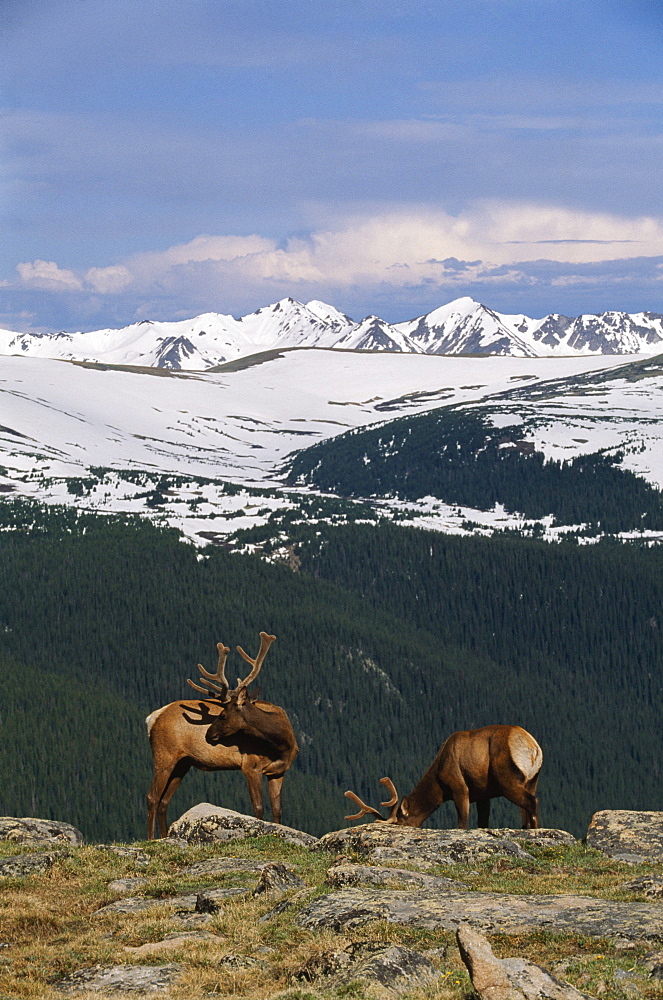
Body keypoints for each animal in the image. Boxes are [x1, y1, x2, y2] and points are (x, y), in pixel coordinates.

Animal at [148, 632, 300, 836]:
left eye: (223, 714)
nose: (208, 734)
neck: (282, 746)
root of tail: (152, 718)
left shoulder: (278, 771)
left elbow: (277, 810)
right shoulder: (250, 765)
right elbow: (258, 808)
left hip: (183, 762)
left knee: (164, 801)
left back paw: (164, 836)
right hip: (164, 754)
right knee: (152, 797)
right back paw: (151, 838)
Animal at [344, 724, 544, 832]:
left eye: (400, 822)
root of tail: (533, 748)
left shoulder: (459, 786)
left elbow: (462, 822)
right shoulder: (482, 793)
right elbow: (482, 821)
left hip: (507, 778)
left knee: (531, 801)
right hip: (532, 780)